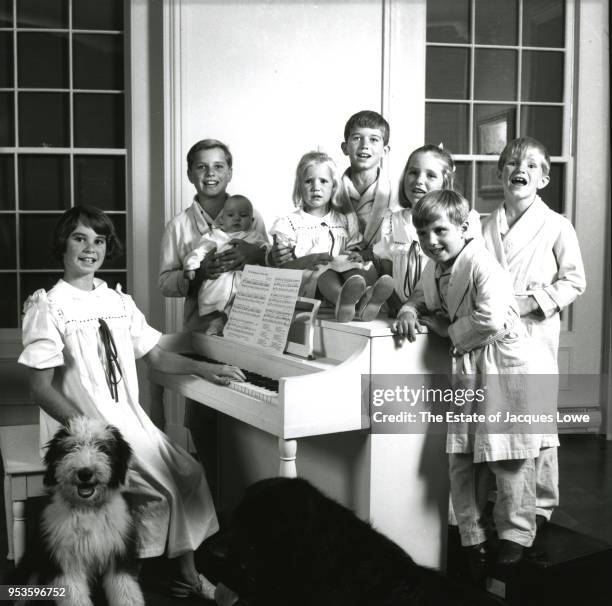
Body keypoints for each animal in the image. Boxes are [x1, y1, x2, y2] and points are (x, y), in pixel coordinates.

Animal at [31, 418, 145, 606]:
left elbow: (126, 592)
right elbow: (74, 596)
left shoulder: (119, 555)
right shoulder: (65, 561)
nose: (85, 473)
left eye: (103, 448)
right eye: (71, 447)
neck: (87, 509)